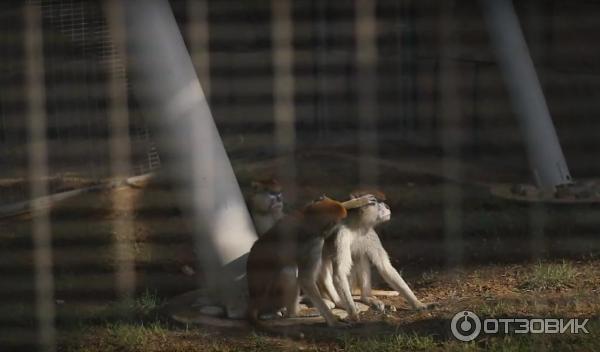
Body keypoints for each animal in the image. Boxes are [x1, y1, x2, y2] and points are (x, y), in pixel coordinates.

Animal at [245, 198, 350, 328]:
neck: (307, 216)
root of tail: (254, 298)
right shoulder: (315, 241)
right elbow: (306, 279)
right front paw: (333, 322)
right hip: (270, 300)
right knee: (288, 271)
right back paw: (295, 313)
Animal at [318, 191, 432, 320]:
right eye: (376, 202)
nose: (387, 206)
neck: (357, 226)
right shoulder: (342, 235)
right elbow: (340, 272)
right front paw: (353, 313)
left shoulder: (370, 234)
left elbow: (385, 267)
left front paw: (417, 303)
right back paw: (334, 301)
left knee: (360, 256)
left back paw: (366, 297)